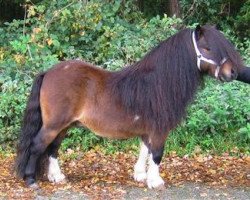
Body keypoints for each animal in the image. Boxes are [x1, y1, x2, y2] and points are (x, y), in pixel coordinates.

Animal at [15, 24, 244, 188]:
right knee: (37, 145)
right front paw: (155, 181)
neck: (159, 81)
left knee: (53, 148)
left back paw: (56, 177)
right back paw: (31, 180)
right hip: (54, 125)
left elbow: (145, 150)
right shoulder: (159, 129)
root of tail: (48, 72)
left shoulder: (147, 128)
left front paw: (140, 175)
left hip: (63, 126)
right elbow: (157, 153)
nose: (232, 72)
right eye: (207, 48)